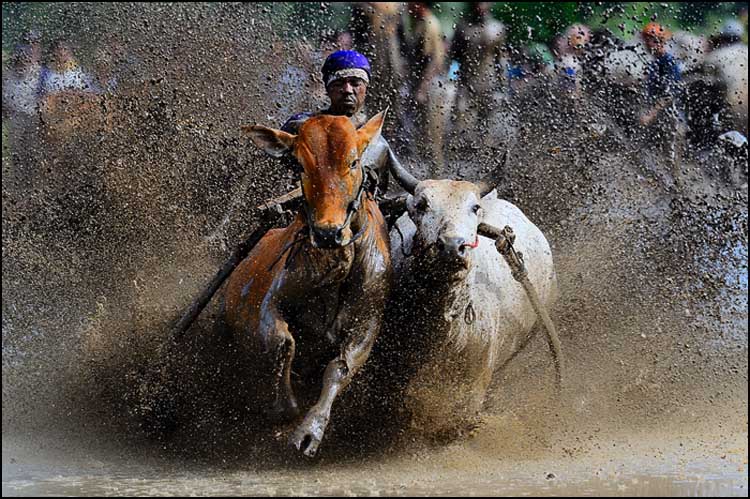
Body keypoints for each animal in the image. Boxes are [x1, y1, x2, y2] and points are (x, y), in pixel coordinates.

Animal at [221, 112, 392, 457]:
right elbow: (283, 344)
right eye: (300, 164)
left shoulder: (368, 321)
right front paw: (283, 408)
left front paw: (309, 431)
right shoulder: (269, 303)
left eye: (353, 161)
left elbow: (338, 368)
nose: (328, 233)